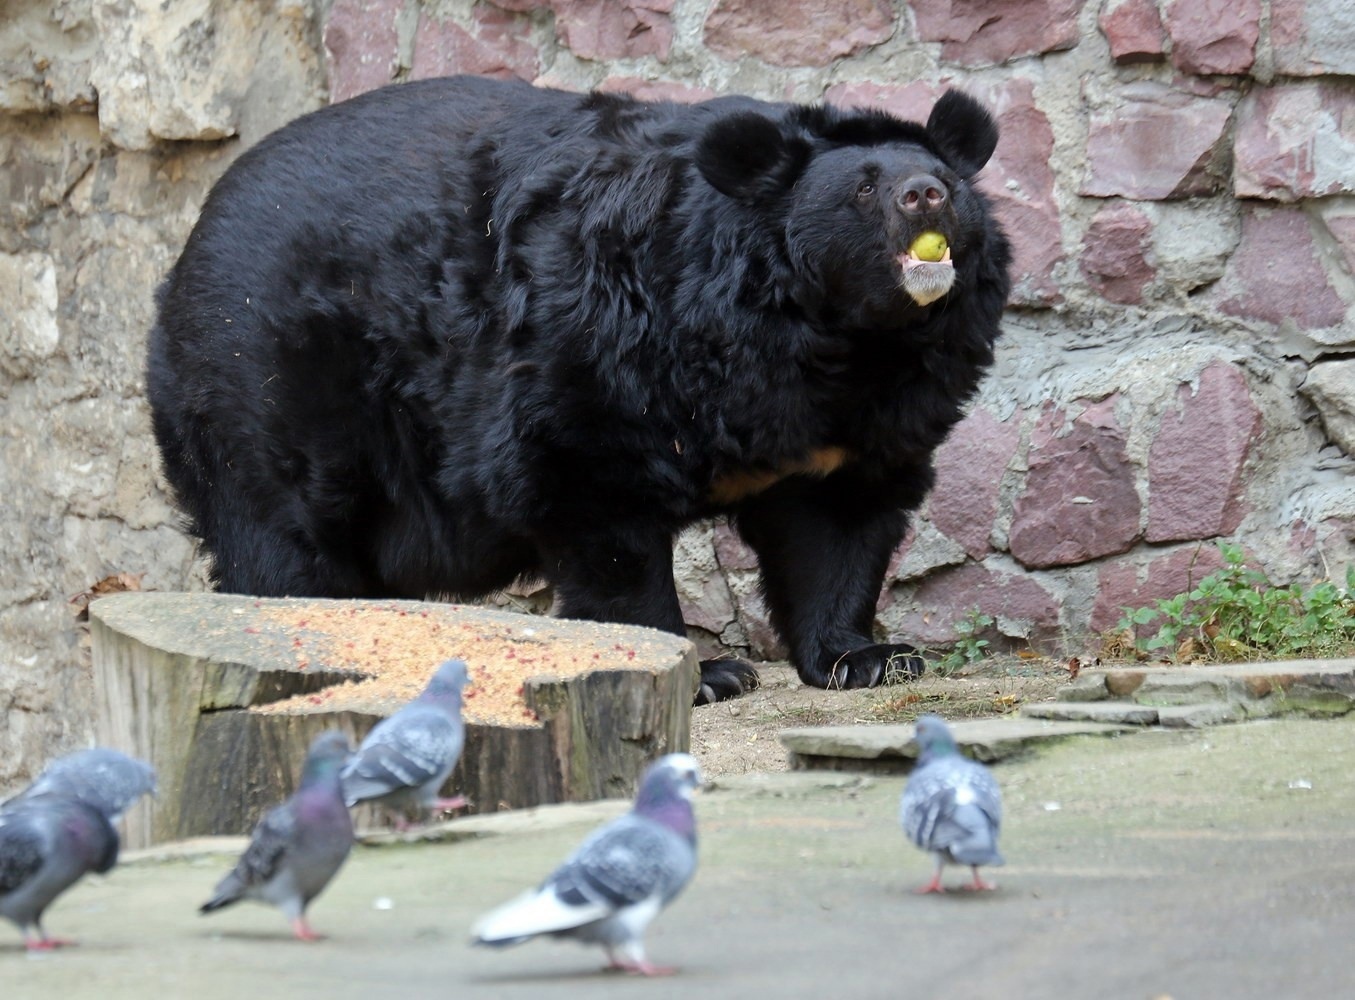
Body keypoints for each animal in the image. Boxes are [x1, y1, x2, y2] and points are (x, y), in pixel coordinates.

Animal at [147, 75, 1011, 704]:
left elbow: (838, 524)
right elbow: (597, 507)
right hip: (268, 383)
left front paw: (866, 658)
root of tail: (187, 249)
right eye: (863, 188)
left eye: (945, 180)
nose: (924, 195)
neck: (836, 339)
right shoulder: (604, 346)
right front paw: (704, 672)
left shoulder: (866, 417)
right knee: (282, 541)